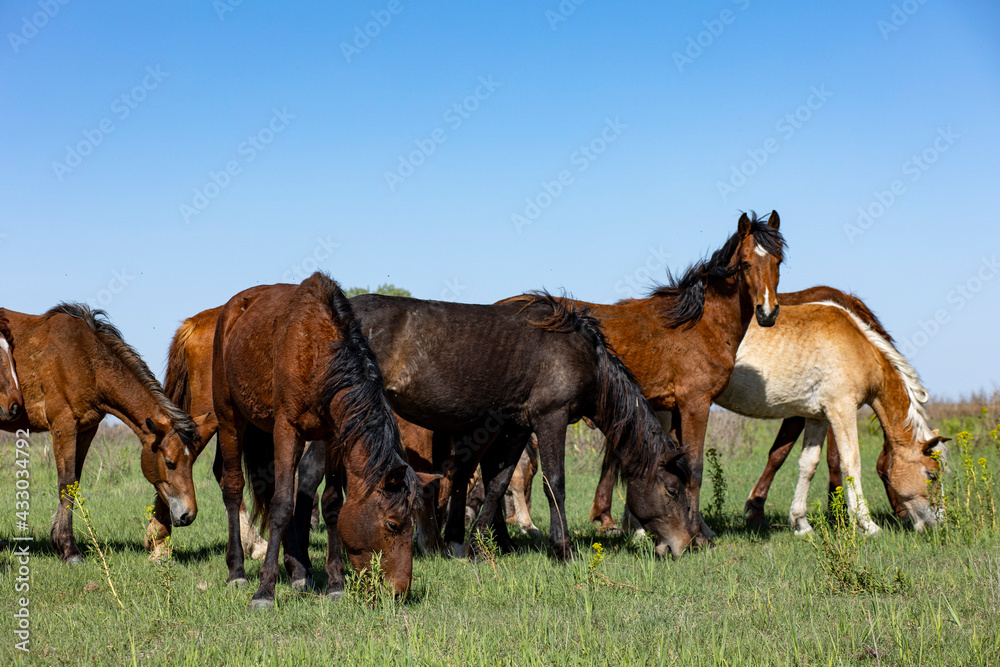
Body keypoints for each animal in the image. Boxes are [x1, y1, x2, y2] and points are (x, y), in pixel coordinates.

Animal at [2, 304, 213, 562]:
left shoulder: (86, 430)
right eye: (169, 462)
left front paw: (60, 544)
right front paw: (70, 550)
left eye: (192, 461)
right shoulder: (63, 427)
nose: (188, 515)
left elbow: (74, 483)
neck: (82, 357)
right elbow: (65, 483)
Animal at [211, 273, 430, 608]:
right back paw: (237, 570)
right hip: (229, 420)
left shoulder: (333, 436)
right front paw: (265, 590)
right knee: (234, 489)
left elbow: (331, 505)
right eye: (393, 525)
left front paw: (335, 582)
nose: (398, 592)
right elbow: (282, 505)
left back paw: (298, 570)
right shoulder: (287, 429)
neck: (320, 353)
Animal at [350, 291, 696, 560]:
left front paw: (477, 545)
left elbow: (498, 483)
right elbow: (554, 483)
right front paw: (563, 548)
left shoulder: (517, 428)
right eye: (673, 490)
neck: (580, 353)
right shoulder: (551, 418)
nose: (682, 546)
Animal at [548, 211, 785, 542]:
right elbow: (695, 468)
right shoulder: (695, 404)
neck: (699, 323)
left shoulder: (674, 409)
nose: (767, 312)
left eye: (778, 262)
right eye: (746, 263)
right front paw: (697, 534)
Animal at [718, 286, 947, 534]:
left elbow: (808, 464)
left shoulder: (816, 417)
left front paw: (801, 523)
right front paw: (867, 524)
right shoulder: (841, 409)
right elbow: (850, 463)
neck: (859, 345)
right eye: (932, 475)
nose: (939, 524)